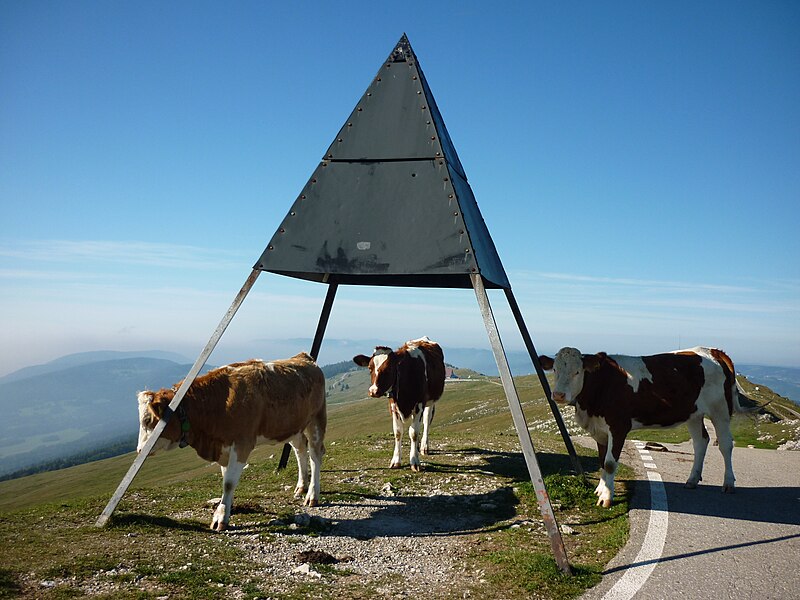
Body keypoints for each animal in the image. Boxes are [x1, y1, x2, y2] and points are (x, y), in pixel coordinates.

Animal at [138, 352, 324, 528]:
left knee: (315, 455)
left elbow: (228, 482)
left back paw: (312, 495)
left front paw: (220, 517)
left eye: (147, 420)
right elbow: (225, 478)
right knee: (300, 450)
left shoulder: (242, 444)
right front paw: (226, 507)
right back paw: (301, 487)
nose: (140, 450)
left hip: (316, 419)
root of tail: (303, 357)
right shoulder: (223, 447)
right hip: (293, 427)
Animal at [354, 336, 446, 472]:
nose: (373, 391)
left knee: (426, 421)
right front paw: (396, 461)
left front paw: (415, 461)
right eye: (370, 368)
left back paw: (424, 447)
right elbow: (398, 432)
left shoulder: (419, 404)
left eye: (389, 368)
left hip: (431, 401)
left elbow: (413, 432)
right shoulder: (393, 405)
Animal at [536, 346, 752, 506]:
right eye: (555, 370)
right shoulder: (599, 429)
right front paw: (600, 489)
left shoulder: (619, 426)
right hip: (694, 413)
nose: (558, 395)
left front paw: (606, 498)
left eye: (577, 372)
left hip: (720, 409)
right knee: (701, 442)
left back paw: (728, 483)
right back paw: (692, 480)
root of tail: (714, 351)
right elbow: (601, 461)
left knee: (725, 444)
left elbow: (609, 463)